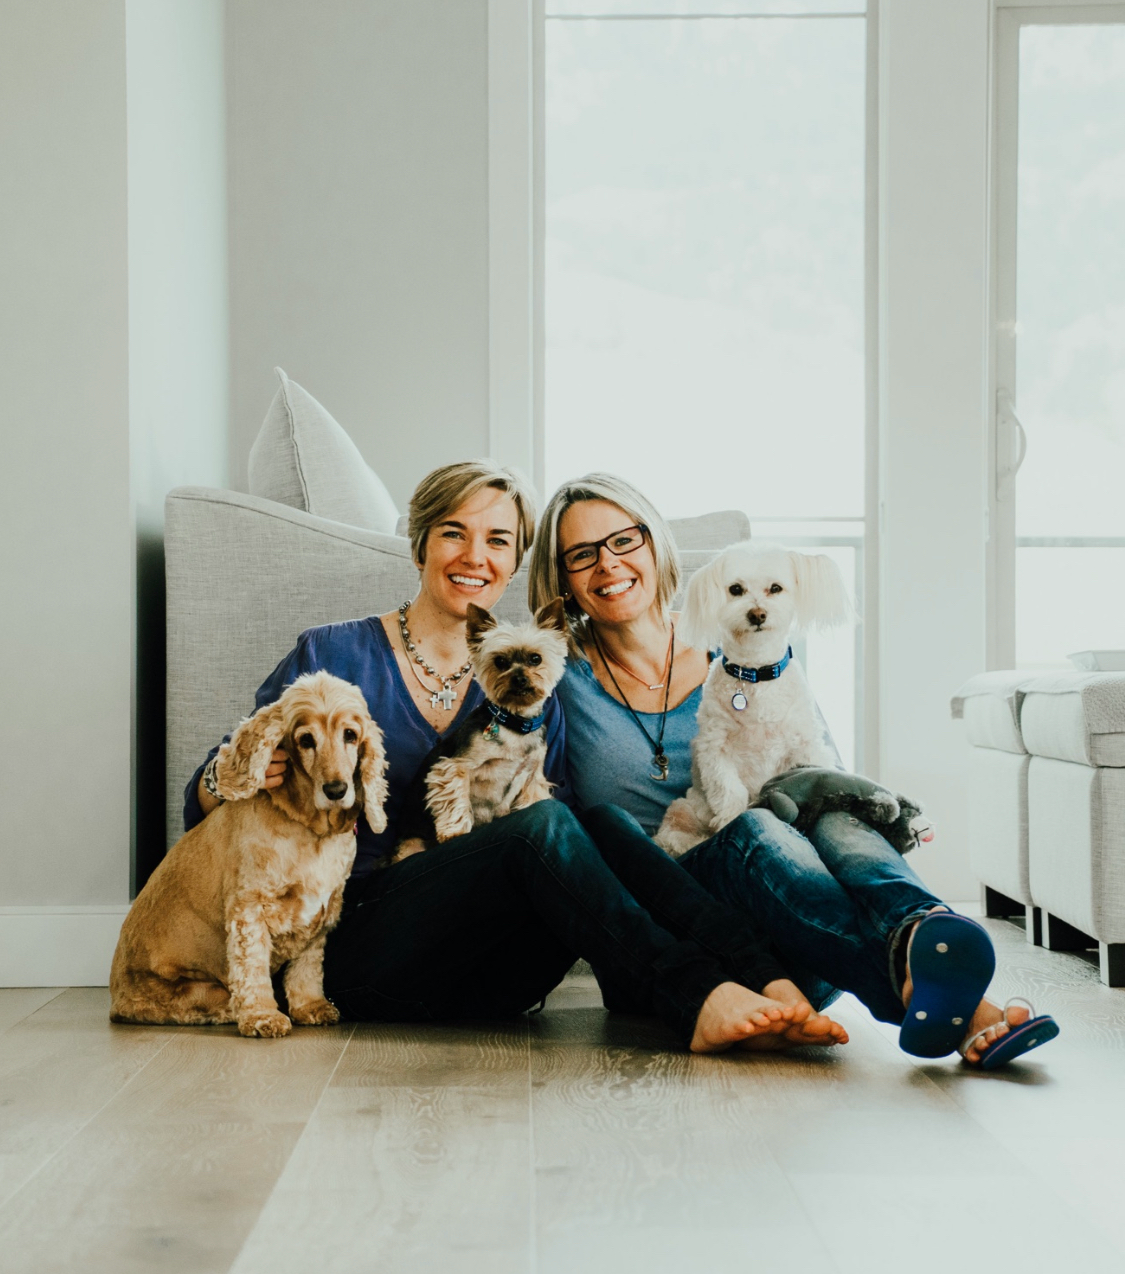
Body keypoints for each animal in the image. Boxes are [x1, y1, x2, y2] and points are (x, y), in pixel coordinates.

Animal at [657, 537, 851, 856]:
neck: (756, 675)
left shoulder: (804, 744)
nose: (757, 614)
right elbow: (729, 791)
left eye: (776, 588)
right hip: (683, 808)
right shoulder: (715, 749)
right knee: (675, 836)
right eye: (736, 589)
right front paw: (729, 820)